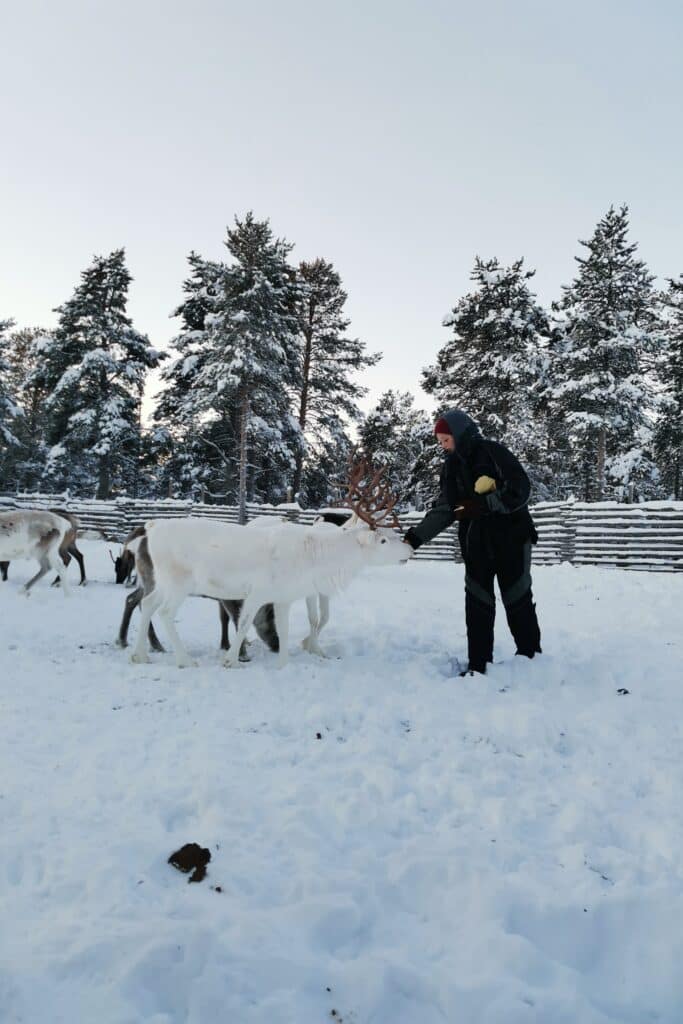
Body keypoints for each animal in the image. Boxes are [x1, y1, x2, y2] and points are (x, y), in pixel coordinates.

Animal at [126, 461, 410, 669]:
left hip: (162, 582)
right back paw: (184, 659)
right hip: (179, 582)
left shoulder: (283, 597)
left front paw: (282, 663)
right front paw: (231, 660)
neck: (317, 560)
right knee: (164, 612)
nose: (409, 548)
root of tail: (150, 529)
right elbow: (243, 623)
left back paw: (140, 654)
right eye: (383, 539)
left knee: (147, 603)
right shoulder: (257, 592)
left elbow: (283, 631)